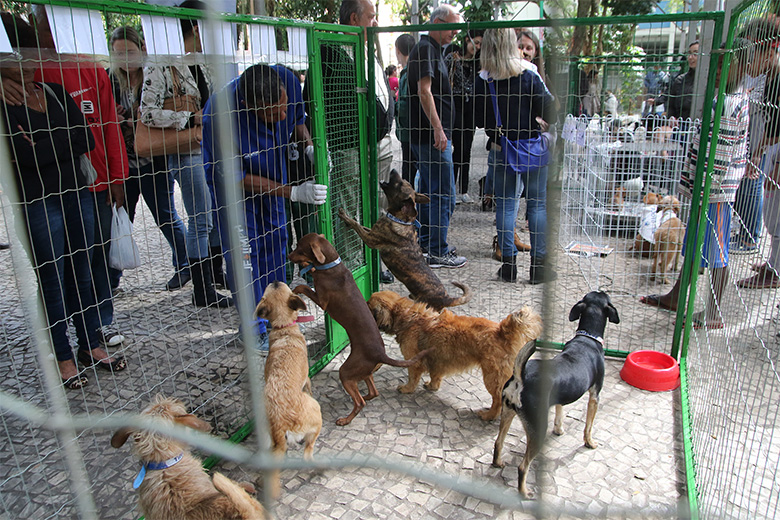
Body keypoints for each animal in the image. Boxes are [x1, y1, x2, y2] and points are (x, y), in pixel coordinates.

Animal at [290, 234, 432, 424]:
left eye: (299, 248)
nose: (288, 256)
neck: (331, 266)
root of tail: (381, 355)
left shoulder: (322, 300)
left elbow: (305, 288)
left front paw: (297, 287)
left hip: (346, 372)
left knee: (359, 402)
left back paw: (345, 420)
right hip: (364, 372)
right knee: (373, 392)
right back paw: (364, 397)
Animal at [338, 169, 472, 310]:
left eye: (400, 184)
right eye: (404, 181)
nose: (393, 170)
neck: (400, 220)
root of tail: (447, 298)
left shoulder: (370, 239)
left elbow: (356, 225)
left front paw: (345, 216)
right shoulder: (373, 232)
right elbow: (362, 226)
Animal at [368, 290, 544, 420]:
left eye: (369, 305)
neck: (406, 316)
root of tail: (503, 331)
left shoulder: (413, 362)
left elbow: (412, 378)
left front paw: (407, 389)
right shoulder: (437, 360)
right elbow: (435, 376)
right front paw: (432, 386)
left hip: (492, 378)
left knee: (498, 400)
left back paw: (488, 415)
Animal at [496, 290, 620, 498]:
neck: (587, 338)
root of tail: (521, 376)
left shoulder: (560, 397)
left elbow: (560, 412)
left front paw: (559, 430)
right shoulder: (595, 396)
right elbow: (588, 426)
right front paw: (590, 442)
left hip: (507, 412)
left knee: (498, 443)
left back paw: (497, 463)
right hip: (537, 428)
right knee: (522, 467)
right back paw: (525, 492)